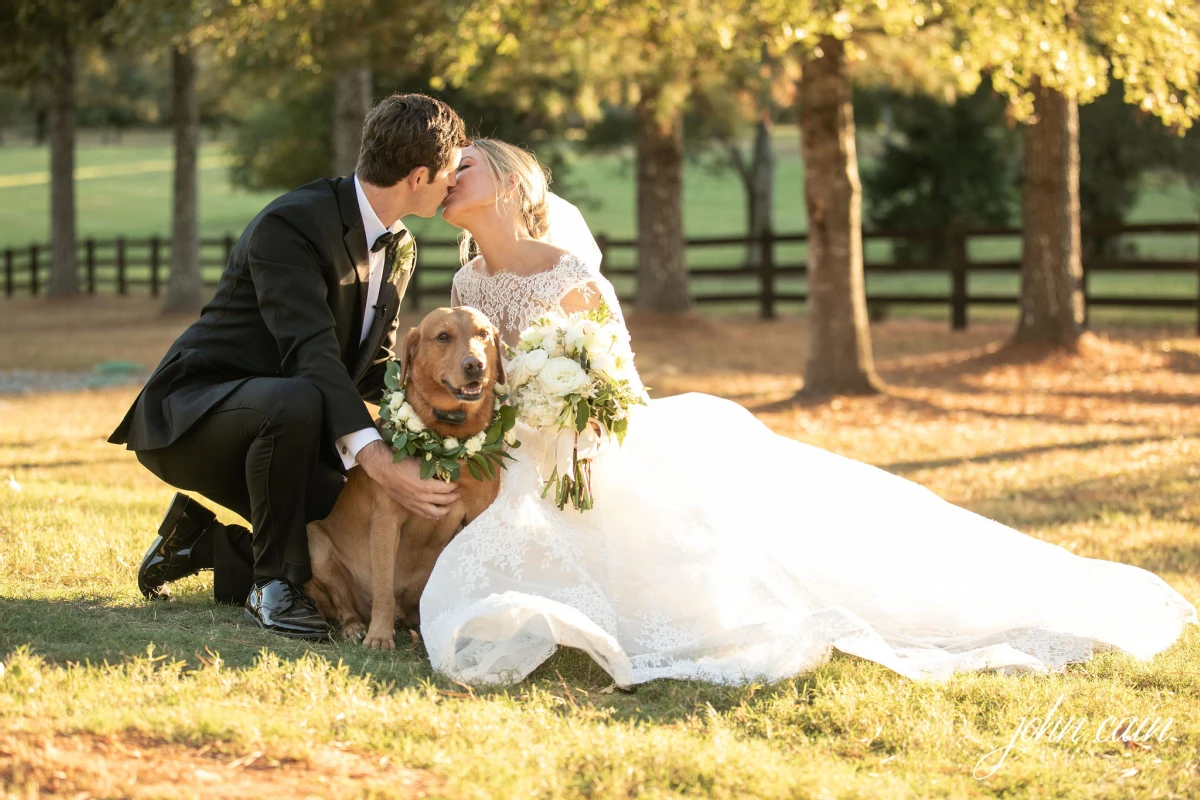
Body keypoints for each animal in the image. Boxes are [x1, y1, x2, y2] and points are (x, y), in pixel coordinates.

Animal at [307, 307, 504, 652]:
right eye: (443, 336)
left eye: (483, 334)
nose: (475, 365)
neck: (450, 439)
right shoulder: (386, 520)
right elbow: (384, 586)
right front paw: (379, 636)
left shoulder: (479, 515)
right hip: (315, 543)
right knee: (344, 603)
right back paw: (356, 626)